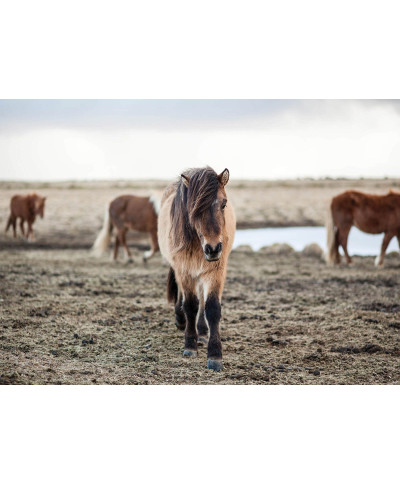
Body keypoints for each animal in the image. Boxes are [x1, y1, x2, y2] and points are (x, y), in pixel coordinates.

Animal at [158, 166, 236, 370]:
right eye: (194, 208)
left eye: (223, 204)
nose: (213, 248)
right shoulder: (184, 271)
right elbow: (190, 305)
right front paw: (190, 346)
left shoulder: (216, 272)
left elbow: (212, 308)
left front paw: (215, 355)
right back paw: (181, 320)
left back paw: (201, 332)